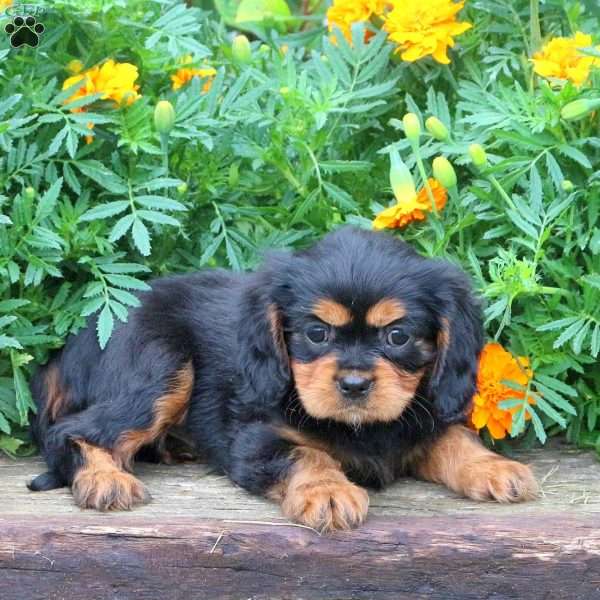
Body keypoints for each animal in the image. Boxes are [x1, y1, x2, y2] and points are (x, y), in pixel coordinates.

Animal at [27, 229, 540, 528]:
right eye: (316, 333)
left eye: (397, 336)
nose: (355, 385)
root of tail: (78, 339)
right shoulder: (254, 439)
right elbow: (305, 454)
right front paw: (327, 491)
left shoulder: (423, 414)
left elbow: (454, 438)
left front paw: (492, 467)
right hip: (161, 365)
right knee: (72, 430)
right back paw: (104, 478)